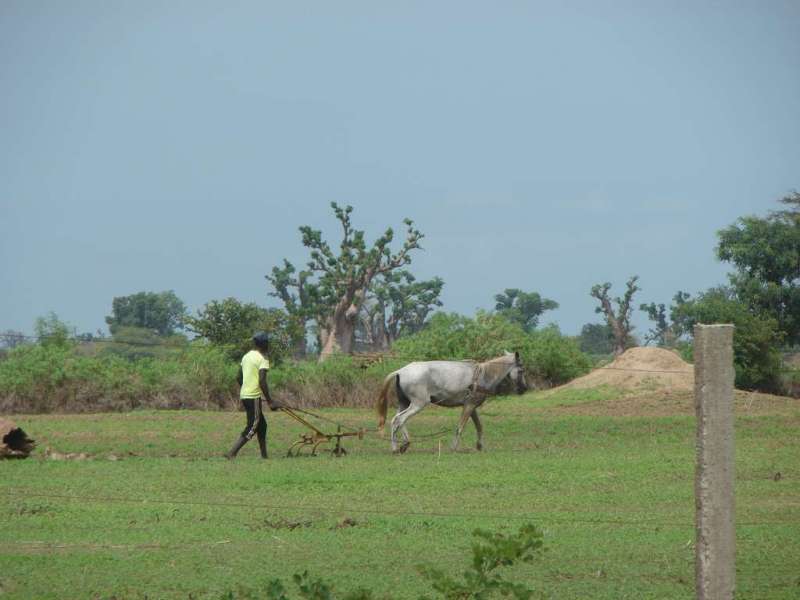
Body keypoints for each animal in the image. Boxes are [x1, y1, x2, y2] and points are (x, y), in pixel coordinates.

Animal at [378, 350, 528, 452]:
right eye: (521, 370)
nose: (524, 388)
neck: (484, 375)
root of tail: (401, 371)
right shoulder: (469, 406)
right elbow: (460, 427)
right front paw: (454, 447)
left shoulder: (471, 407)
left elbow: (479, 426)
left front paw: (479, 445)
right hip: (418, 404)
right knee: (399, 419)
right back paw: (400, 446)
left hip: (404, 403)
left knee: (397, 420)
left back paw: (400, 445)